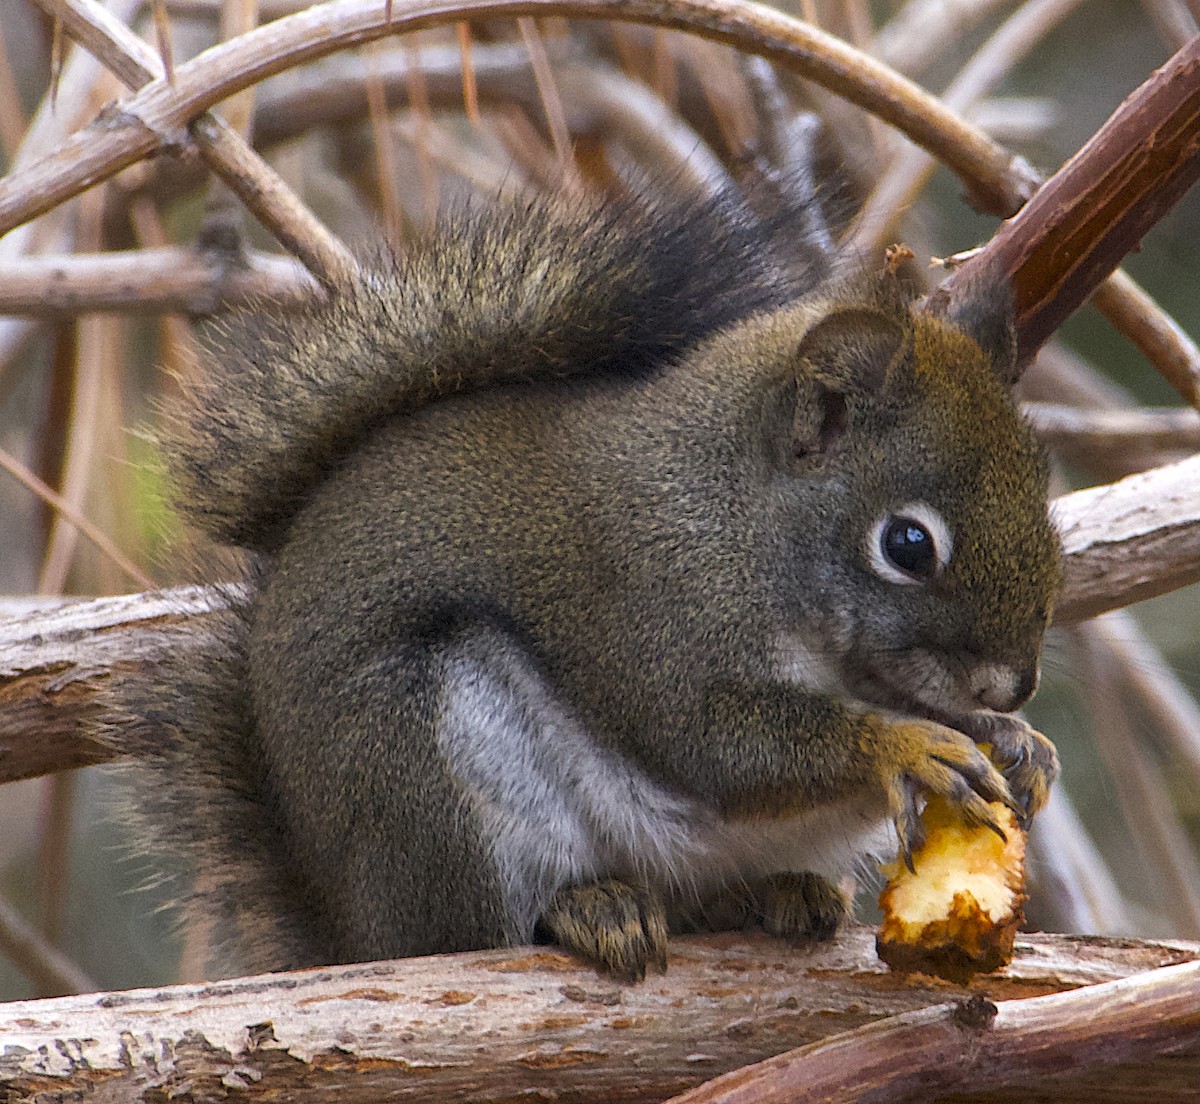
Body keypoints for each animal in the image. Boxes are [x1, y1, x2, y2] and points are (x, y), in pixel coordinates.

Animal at [107, 185, 1062, 982]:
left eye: (1044, 489)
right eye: (907, 544)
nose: (1014, 683)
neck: (742, 518)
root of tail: (356, 936)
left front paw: (1014, 741)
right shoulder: (646, 604)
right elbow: (716, 743)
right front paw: (903, 746)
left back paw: (771, 895)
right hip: (427, 772)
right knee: (480, 929)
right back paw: (586, 909)